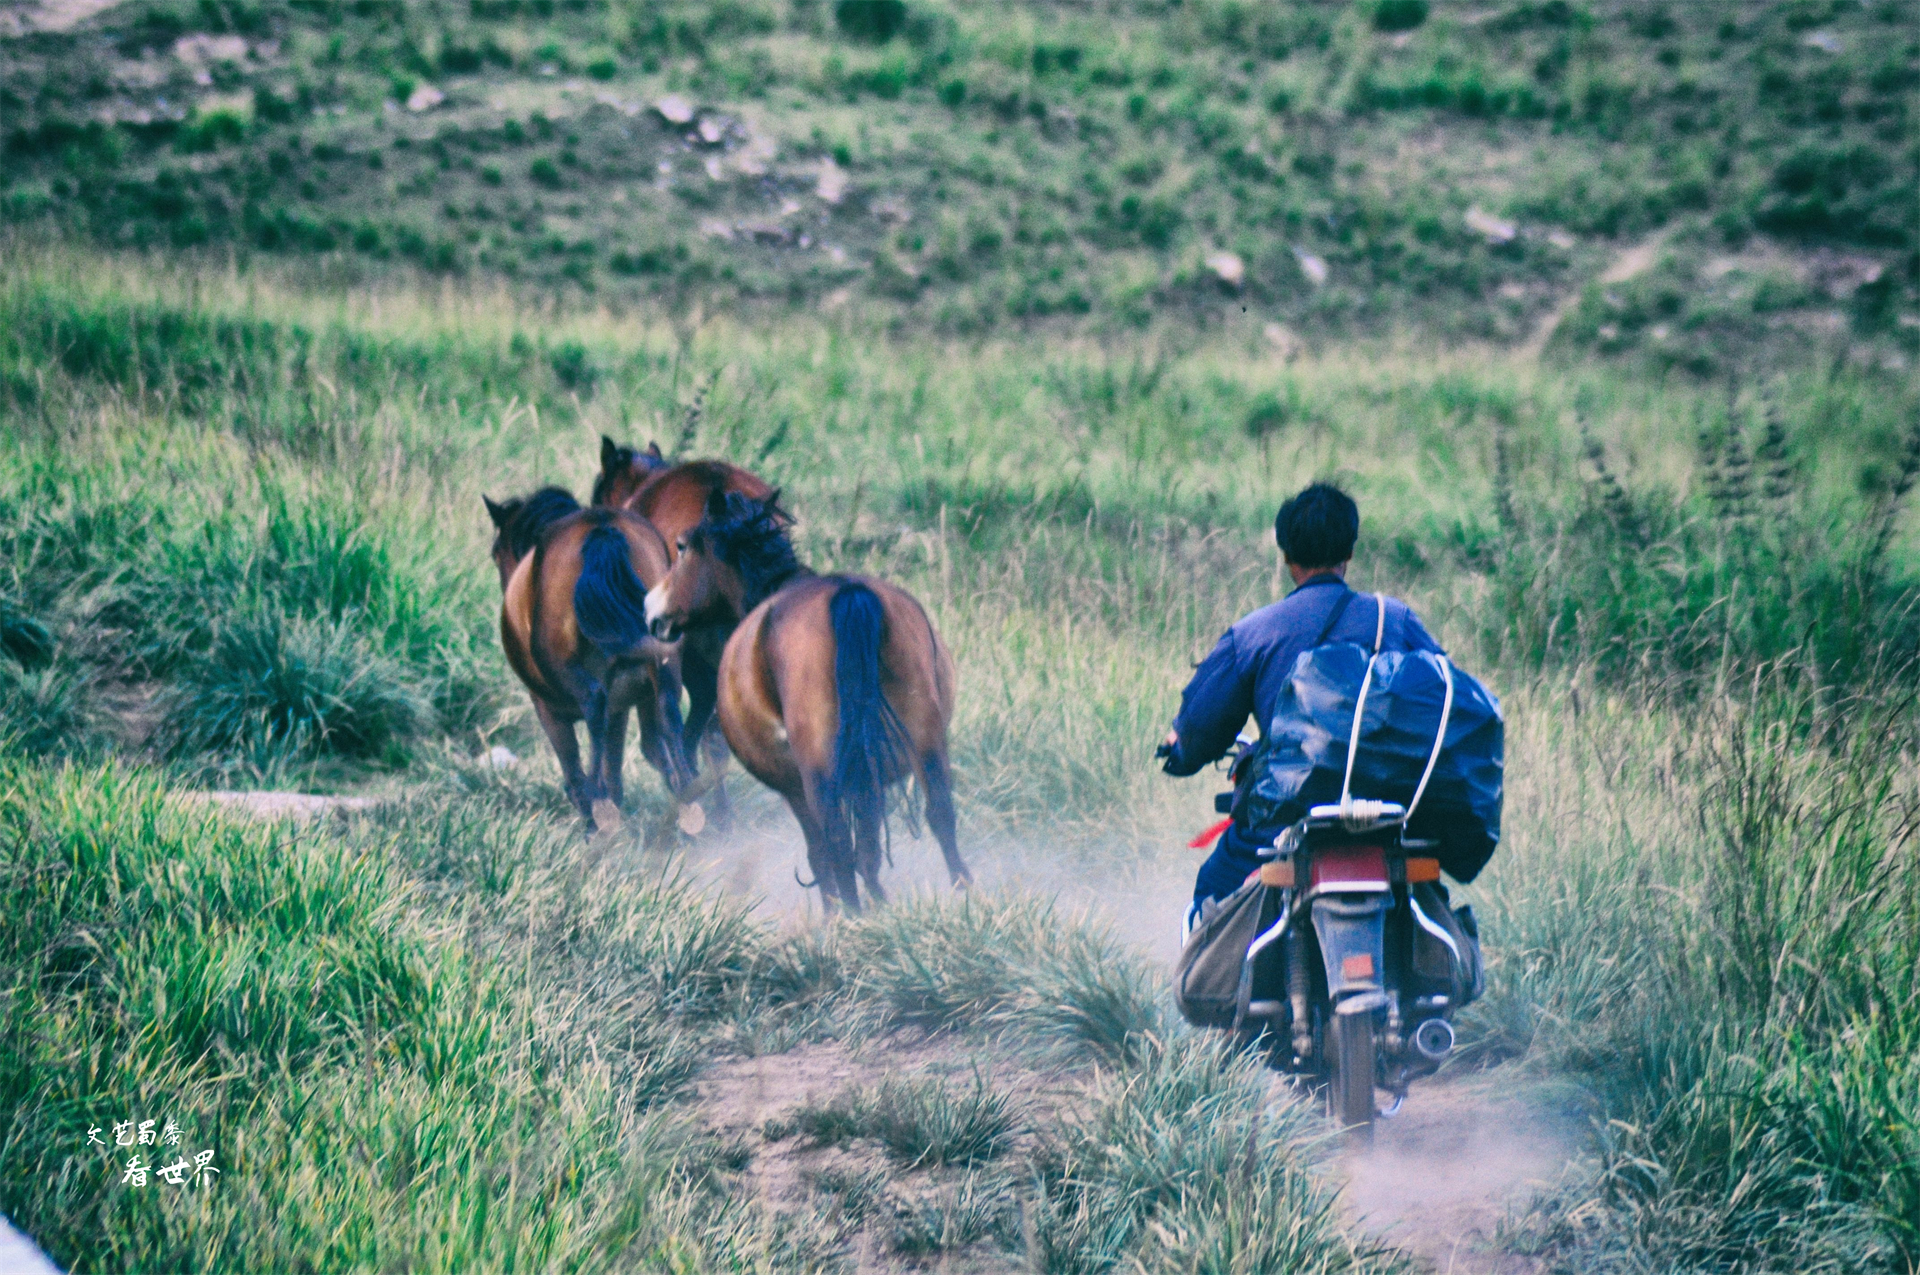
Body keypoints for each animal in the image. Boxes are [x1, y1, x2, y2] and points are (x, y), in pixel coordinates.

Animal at [483, 483, 695, 833]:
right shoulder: (621, 707)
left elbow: (574, 770)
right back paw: (691, 800)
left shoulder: (548, 709)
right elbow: (615, 765)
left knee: (594, 707)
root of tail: (601, 527)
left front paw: (593, 812)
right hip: (663, 668)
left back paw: (601, 810)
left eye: (497, 553)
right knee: (668, 708)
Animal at [648, 483, 975, 910]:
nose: (652, 611)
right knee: (940, 813)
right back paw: (963, 894)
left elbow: (823, 853)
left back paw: (851, 916)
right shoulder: (866, 774)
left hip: (820, 771)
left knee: (836, 842)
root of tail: (848, 595)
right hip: (924, 737)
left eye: (682, 546)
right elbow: (868, 845)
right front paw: (880, 901)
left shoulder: (796, 786)